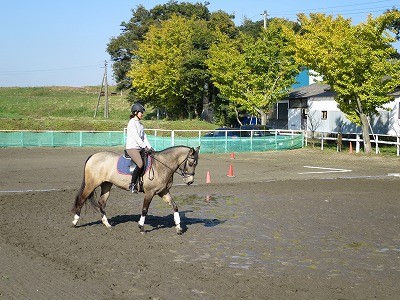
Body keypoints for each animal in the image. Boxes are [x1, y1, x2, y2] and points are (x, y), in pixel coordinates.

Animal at [72, 145, 200, 234]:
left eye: (196, 164)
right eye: (191, 163)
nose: (190, 181)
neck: (160, 166)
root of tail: (93, 156)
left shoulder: (163, 192)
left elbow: (175, 206)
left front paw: (178, 227)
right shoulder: (149, 193)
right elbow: (144, 209)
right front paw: (141, 227)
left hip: (106, 184)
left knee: (101, 203)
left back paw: (107, 224)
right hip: (91, 184)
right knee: (82, 199)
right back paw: (75, 222)